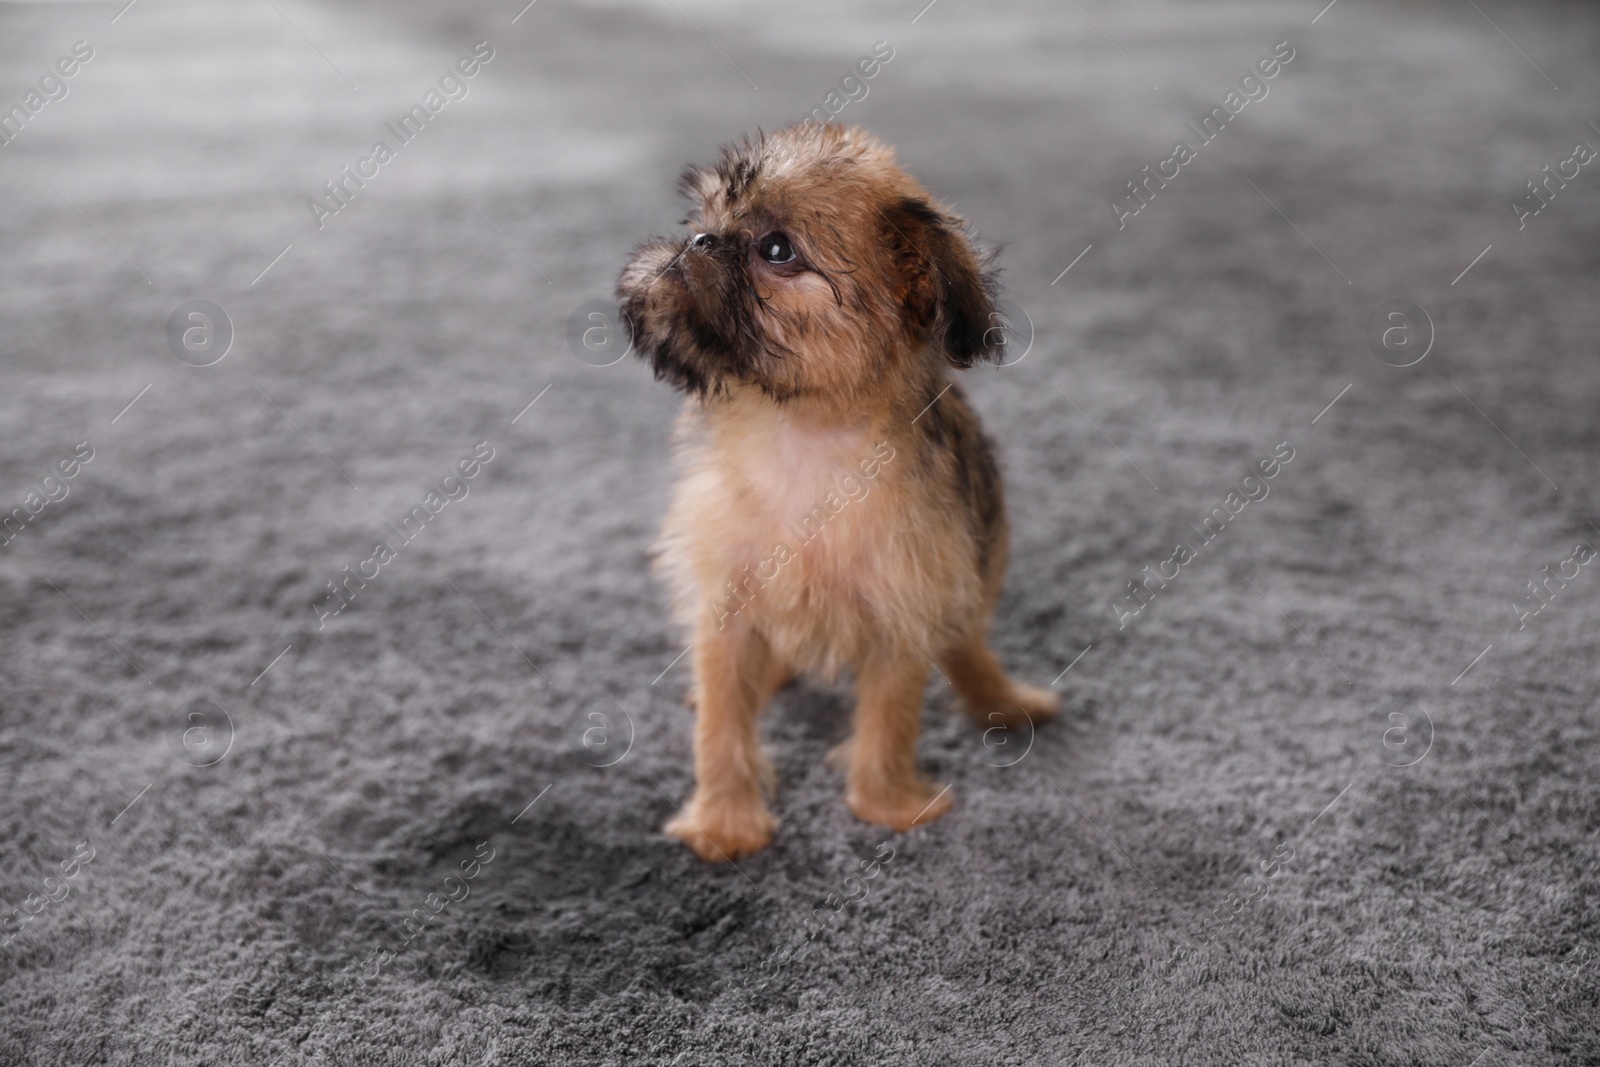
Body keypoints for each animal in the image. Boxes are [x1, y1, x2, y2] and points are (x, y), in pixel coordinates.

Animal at [617, 123, 1056, 857]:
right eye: (704, 216)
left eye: (775, 248)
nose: (699, 241)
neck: (802, 436)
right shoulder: (726, 606)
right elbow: (722, 723)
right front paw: (723, 823)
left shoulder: (905, 606)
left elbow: (890, 719)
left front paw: (887, 806)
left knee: (965, 642)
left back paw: (1004, 699)